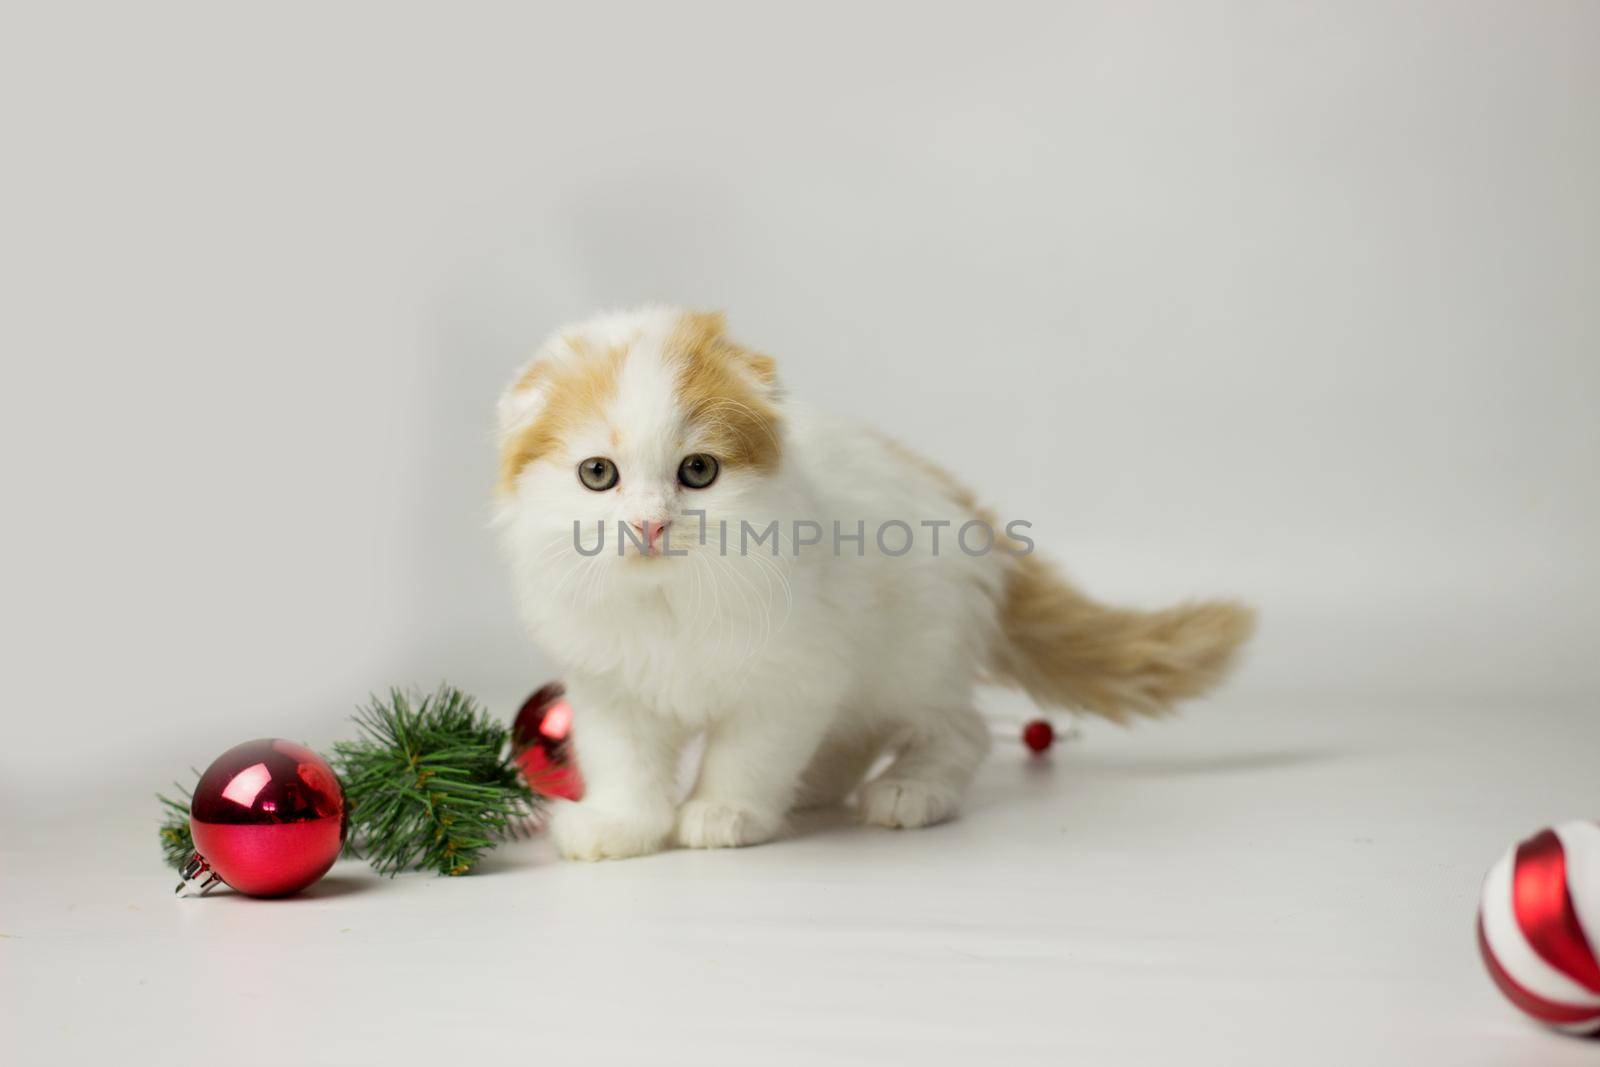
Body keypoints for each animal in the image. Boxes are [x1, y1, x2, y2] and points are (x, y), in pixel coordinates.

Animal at [492, 307, 1254, 857]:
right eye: (599, 473)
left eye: (698, 471)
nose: (650, 524)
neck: (669, 601)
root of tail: (965, 510)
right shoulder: (608, 684)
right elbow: (624, 761)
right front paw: (619, 825)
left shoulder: (791, 678)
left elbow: (746, 754)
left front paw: (724, 811)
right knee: (856, 735)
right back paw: (813, 789)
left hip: (916, 658)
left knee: (963, 731)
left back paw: (909, 791)